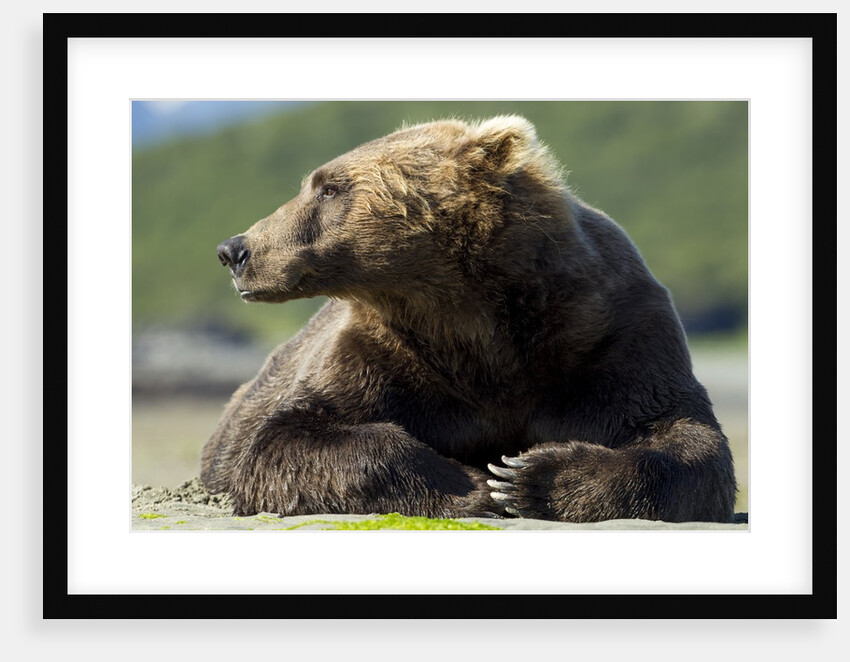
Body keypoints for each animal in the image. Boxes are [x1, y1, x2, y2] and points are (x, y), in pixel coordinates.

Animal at [200, 115, 737, 523]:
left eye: (329, 188)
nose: (234, 249)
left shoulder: (612, 338)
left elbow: (686, 440)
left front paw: (528, 477)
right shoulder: (387, 355)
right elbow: (289, 437)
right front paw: (477, 484)